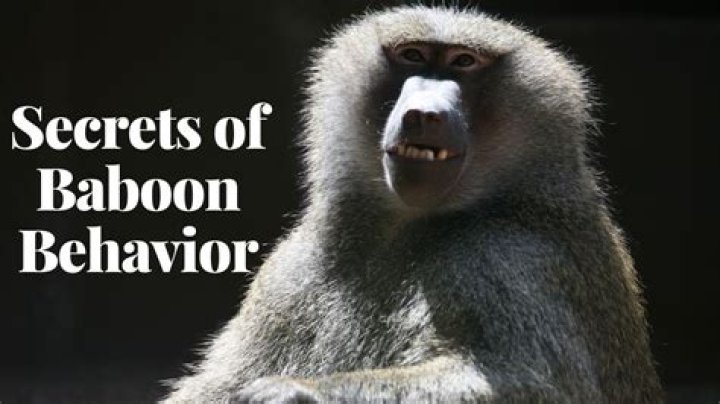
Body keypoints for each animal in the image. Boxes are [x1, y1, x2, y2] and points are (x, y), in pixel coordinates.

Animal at [164, 6, 663, 403]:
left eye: (464, 62)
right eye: (413, 56)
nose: (425, 113)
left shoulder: (509, 256)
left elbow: (540, 385)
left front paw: (295, 392)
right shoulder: (289, 276)